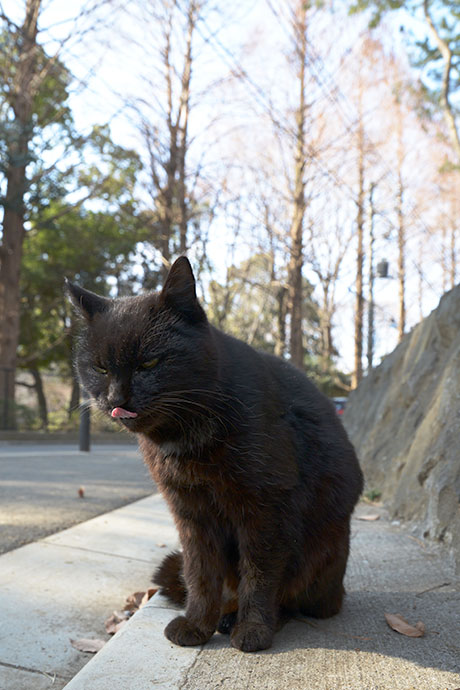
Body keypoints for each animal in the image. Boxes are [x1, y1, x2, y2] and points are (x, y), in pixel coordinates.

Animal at [67, 256, 362, 652]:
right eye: (99, 368)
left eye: (149, 364)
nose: (116, 399)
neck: (184, 438)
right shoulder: (190, 513)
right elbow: (200, 574)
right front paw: (197, 624)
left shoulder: (266, 510)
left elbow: (260, 575)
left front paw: (252, 628)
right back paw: (224, 614)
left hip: (320, 552)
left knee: (292, 597)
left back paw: (244, 617)